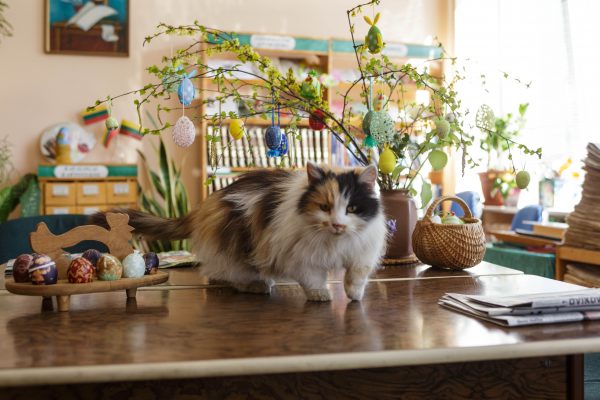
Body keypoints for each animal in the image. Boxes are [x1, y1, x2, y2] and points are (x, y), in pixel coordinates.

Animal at [92, 162, 388, 301]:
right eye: (325, 207)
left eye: (351, 208)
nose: (337, 224)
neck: (334, 241)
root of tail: (207, 204)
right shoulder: (301, 258)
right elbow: (313, 279)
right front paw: (320, 295)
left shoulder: (362, 251)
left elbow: (356, 275)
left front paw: (354, 295)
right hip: (234, 249)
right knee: (228, 275)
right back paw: (257, 285)